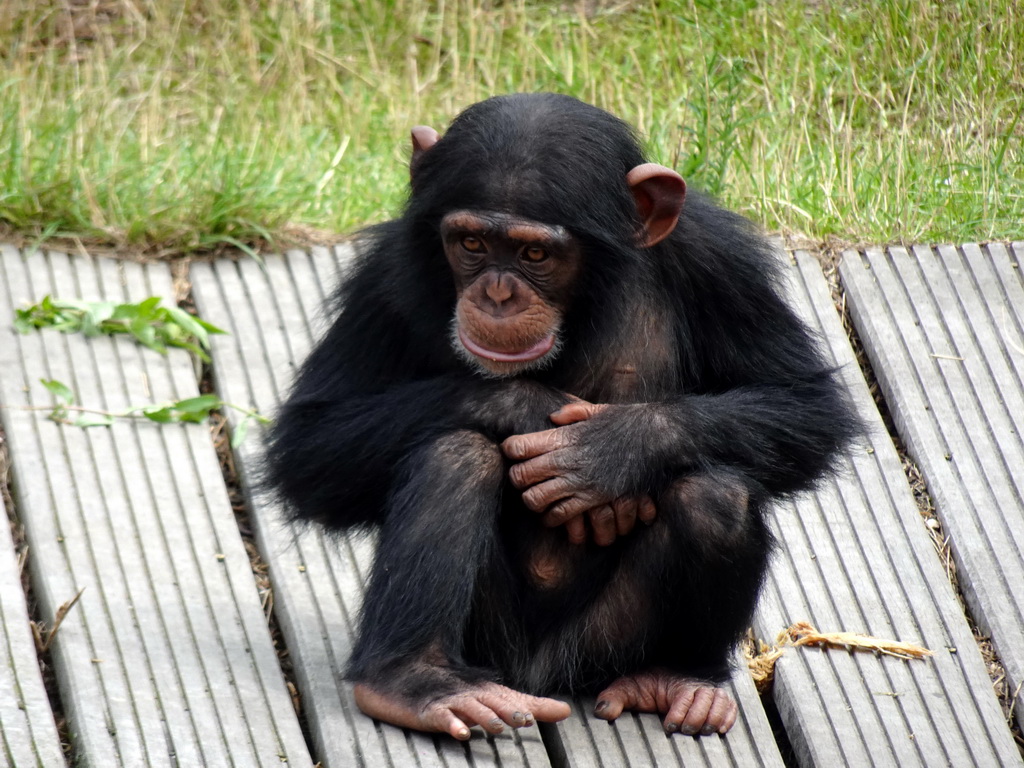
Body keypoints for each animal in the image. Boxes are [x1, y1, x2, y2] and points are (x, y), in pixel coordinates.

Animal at [266, 93, 864, 741]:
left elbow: (806, 402)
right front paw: (530, 408)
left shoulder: (721, 261)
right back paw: (414, 683)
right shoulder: (385, 274)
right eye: (471, 244)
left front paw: (609, 450)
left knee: (714, 496)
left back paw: (678, 678)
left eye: (535, 253)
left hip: (607, 644)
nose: (498, 295)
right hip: (492, 648)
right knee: (454, 456)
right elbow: (310, 443)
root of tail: (542, 674)